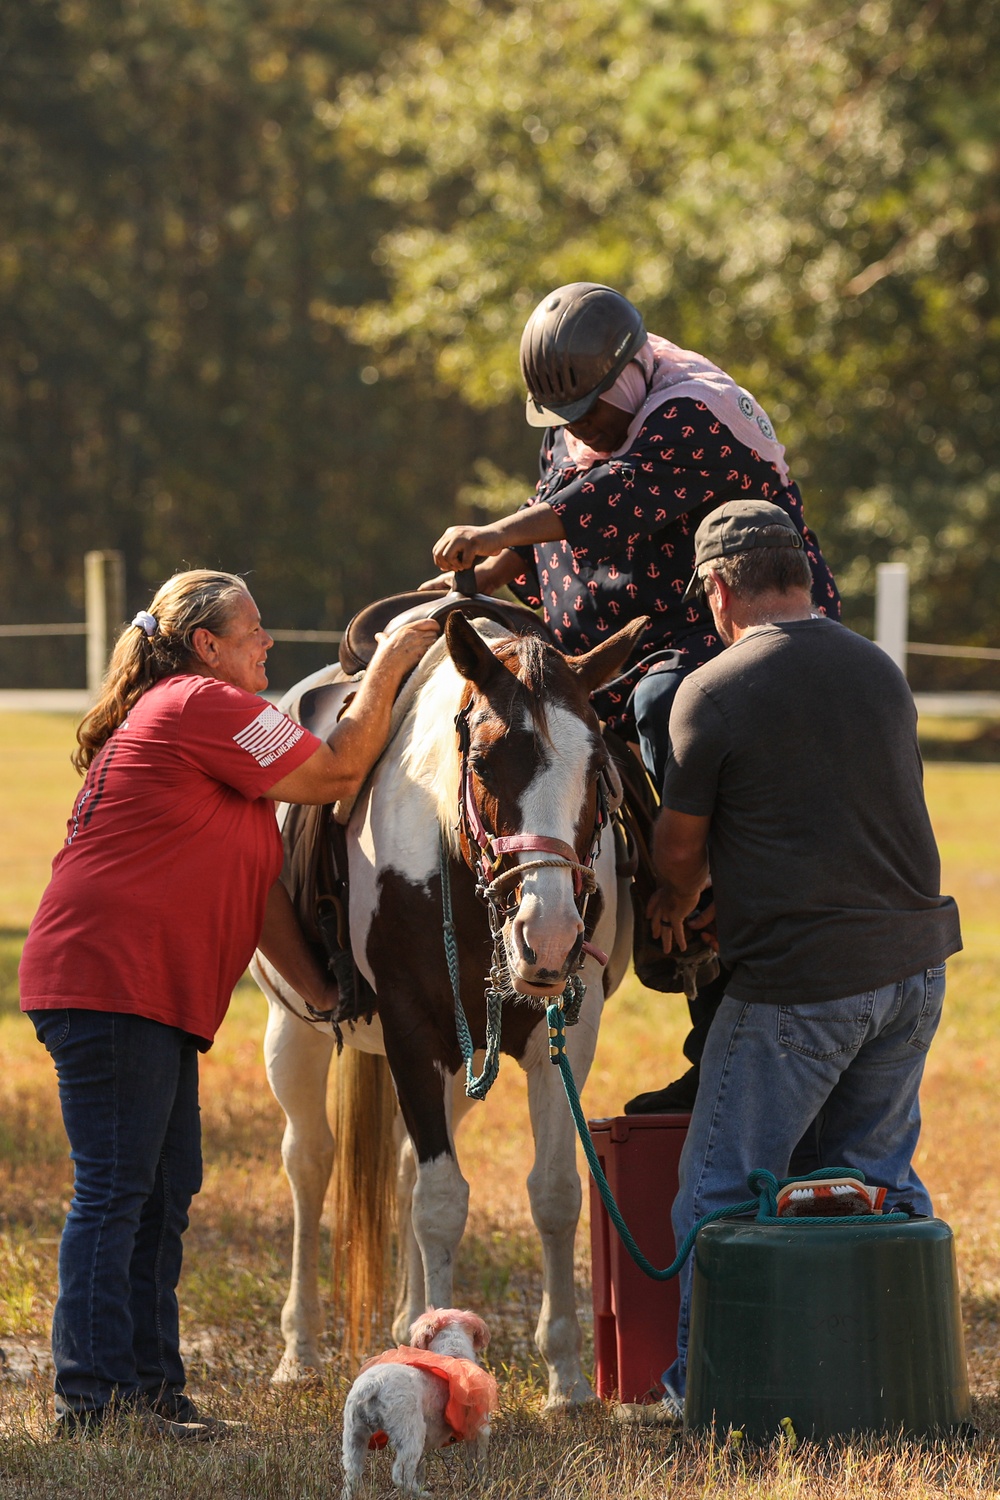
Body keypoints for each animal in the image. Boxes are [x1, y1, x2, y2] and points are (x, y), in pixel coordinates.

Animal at [250, 609, 650, 1404]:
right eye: (489, 761)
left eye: (599, 768)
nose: (548, 934)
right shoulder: (411, 1032)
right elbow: (441, 1202)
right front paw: (446, 1367)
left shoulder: (561, 1039)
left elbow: (555, 1193)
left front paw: (566, 1378)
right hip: (294, 1035)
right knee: (311, 1163)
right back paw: (299, 1350)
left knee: (405, 1165)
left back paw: (408, 1322)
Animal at [341, 1308, 497, 1494]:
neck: (452, 1355)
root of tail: (373, 1384)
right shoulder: (479, 1428)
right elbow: (478, 1462)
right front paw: (482, 1486)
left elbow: (420, 1469)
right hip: (411, 1432)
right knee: (400, 1475)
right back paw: (422, 1494)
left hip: (354, 1436)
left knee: (352, 1476)